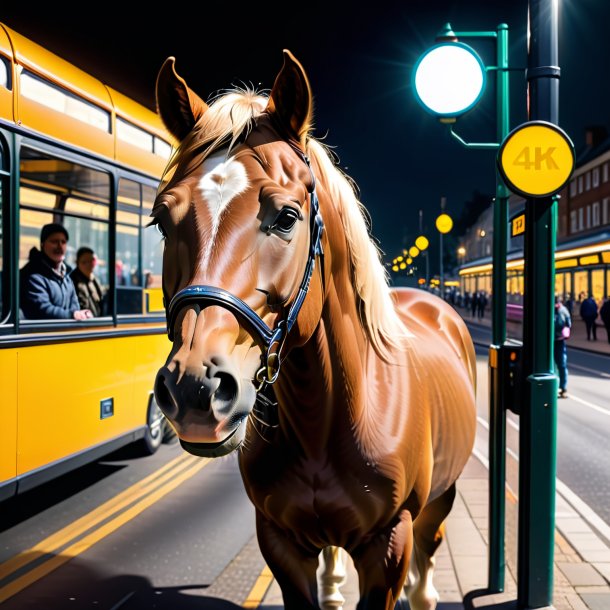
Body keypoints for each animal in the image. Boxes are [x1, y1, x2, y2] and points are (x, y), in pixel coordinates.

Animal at [152, 48, 476, 608]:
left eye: (286, 217)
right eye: (160, 219)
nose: (194, 388)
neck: (329, 414)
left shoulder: (388, 547)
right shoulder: (280, 542)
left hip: (441, 500)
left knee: (429, 554)